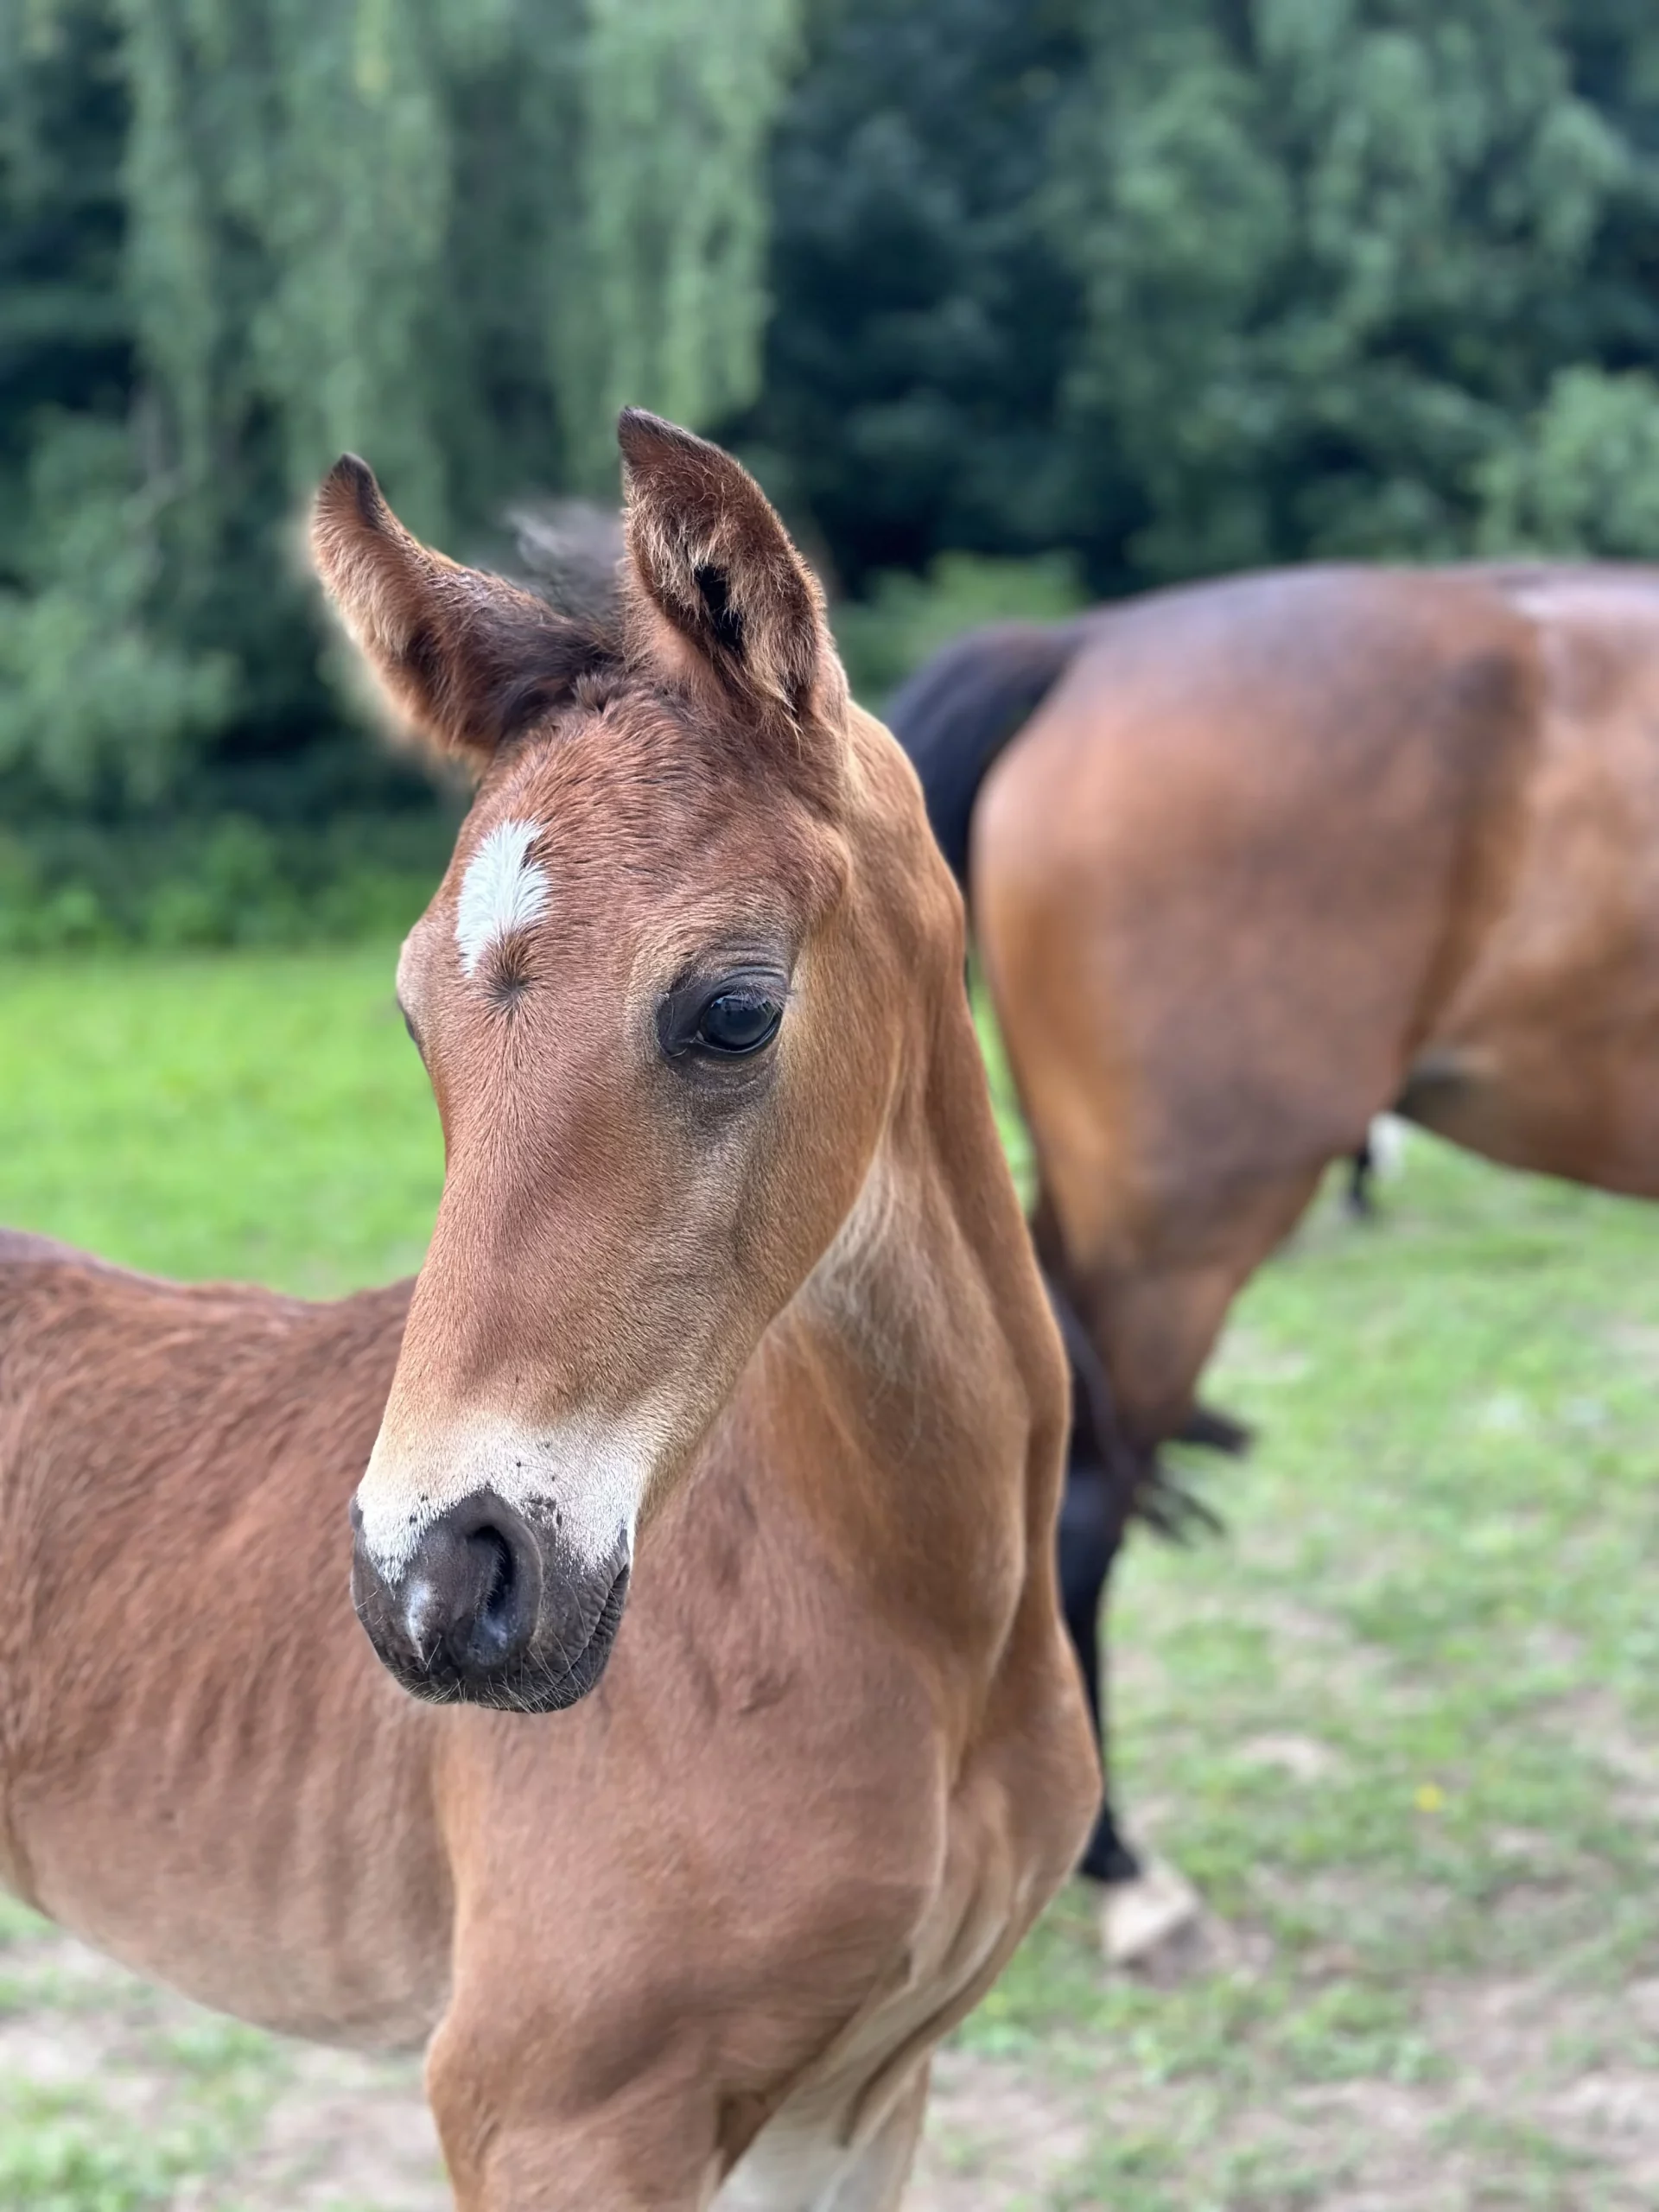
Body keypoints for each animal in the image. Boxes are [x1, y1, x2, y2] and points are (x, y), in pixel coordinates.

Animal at [0, 412, 1099, 2207]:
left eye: (735, 1009)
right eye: (411, 1015)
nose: (436, 1586)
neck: (918, 1615)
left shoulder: (861, 2098)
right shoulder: (552, 2109)